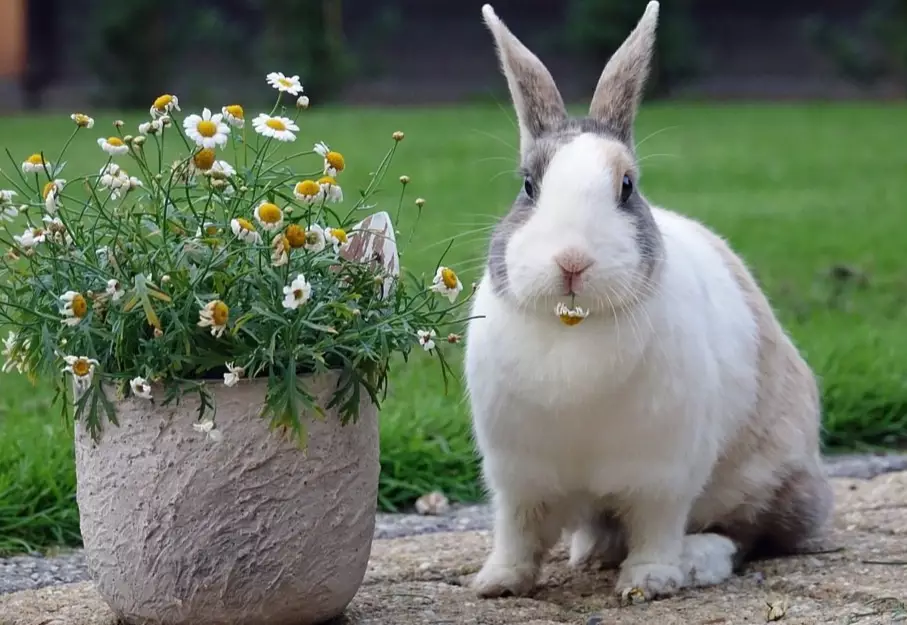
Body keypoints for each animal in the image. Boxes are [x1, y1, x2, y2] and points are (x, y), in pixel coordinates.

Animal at [464, 1, 834, 603]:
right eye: (528, 187)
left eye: (627, 188)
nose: (572, 261)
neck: (574, 324)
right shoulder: (516, 475)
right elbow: (517, 530)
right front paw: (497, 583)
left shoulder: (662, 476)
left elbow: (656, 526)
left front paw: (648, 581)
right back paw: (590, 552)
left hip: (765, 476)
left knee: (750, 533)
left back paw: (696, 561)